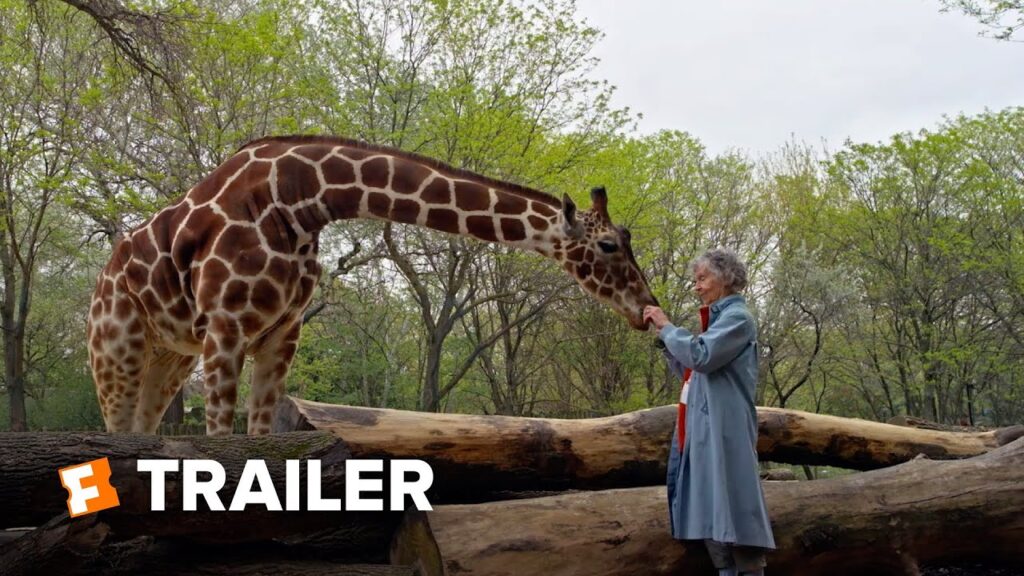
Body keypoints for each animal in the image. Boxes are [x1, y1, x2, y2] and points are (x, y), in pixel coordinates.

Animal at [88, 136, 659, 435]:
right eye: (610, 244)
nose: (646, 307)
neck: (300, 199)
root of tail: (101, 283)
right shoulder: (225, 328)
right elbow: (221, 445)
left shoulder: (281, 333)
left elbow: (258, 441)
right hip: (116, 352)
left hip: (168, 357)